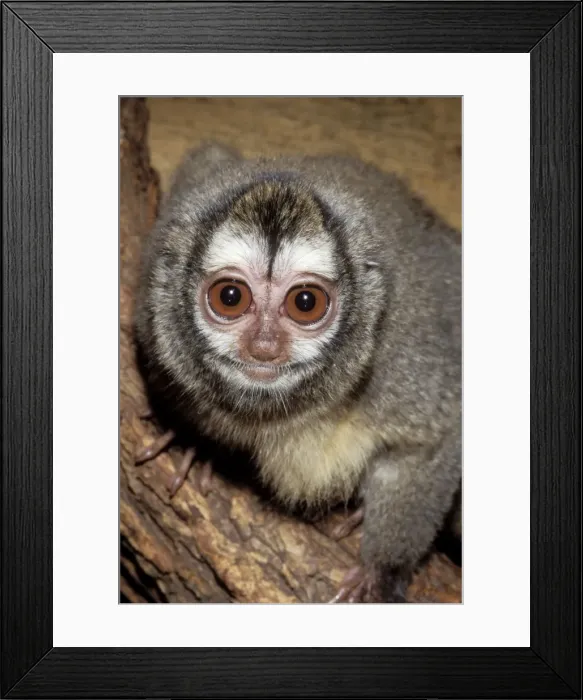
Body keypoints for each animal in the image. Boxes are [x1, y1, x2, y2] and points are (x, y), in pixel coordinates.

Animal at [133, 141, 461, 603]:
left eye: (305, 303)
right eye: (230, 297)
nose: (264, 347)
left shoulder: (403, 360)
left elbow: (434, 440)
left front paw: (378, 572)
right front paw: (193, 440)